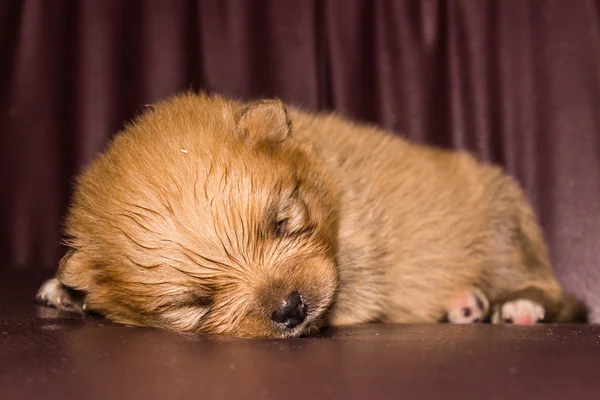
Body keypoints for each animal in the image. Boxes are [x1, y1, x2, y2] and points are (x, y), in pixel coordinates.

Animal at [35, 92, 588, 336]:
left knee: (547, 288)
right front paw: (65, 288)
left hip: (503, 232)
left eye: (282, 222)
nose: (290, 308)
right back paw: (465, 304)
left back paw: (517, 306)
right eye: (193, 303)